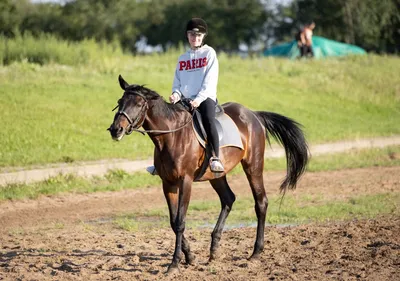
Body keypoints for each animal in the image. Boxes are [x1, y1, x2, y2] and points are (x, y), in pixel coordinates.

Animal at [107, 75, 310, 274]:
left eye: (138, 104)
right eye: (120, 102)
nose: (115, 129)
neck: (171, 137)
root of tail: (254, 115)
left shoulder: (185, 181)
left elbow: (180, 221)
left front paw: (174, 264)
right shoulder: (168, 183)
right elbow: (173, 221)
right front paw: (190, 257)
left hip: (253, 166)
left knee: (261, 202)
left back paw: (255, 253)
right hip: (217, 176)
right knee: (228, 198)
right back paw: (214, 250)